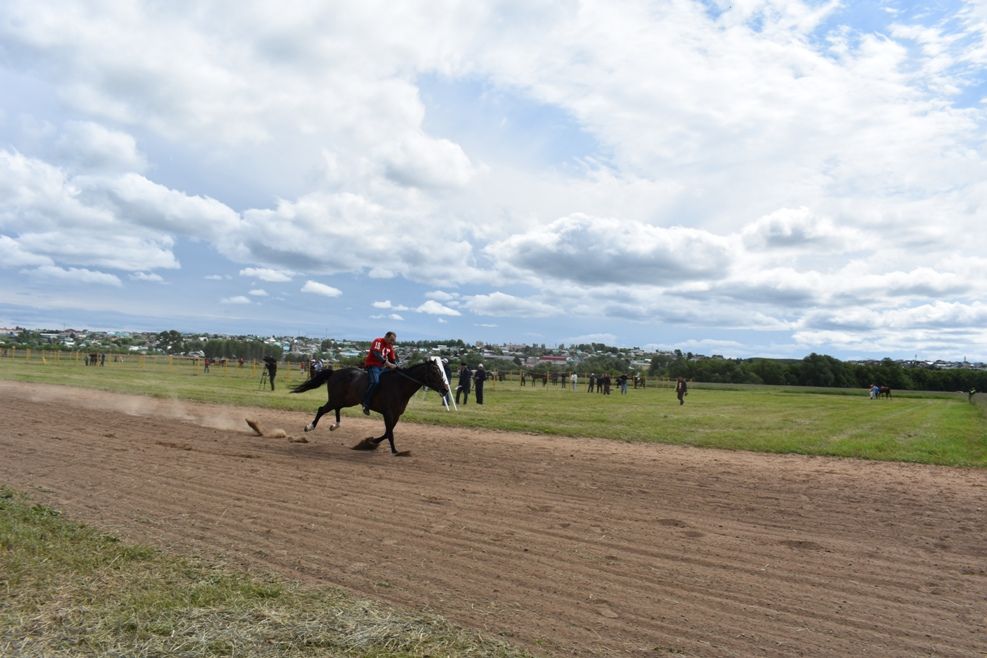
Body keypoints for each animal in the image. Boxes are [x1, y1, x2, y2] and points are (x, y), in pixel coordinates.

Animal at [292, 356, 450, 454]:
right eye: (435, 372)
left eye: (441, 371)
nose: (445, 389)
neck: (400, 385)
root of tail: (334, 372)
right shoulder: (388, 413)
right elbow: (389, 433)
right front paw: (394, 450)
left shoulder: (396, 415)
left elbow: (387, 432)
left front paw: (371, 442)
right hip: (336, 399)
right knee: (321, 409)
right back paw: (309, 427)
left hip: (347, 400)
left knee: (337, 409)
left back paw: (335, 425)